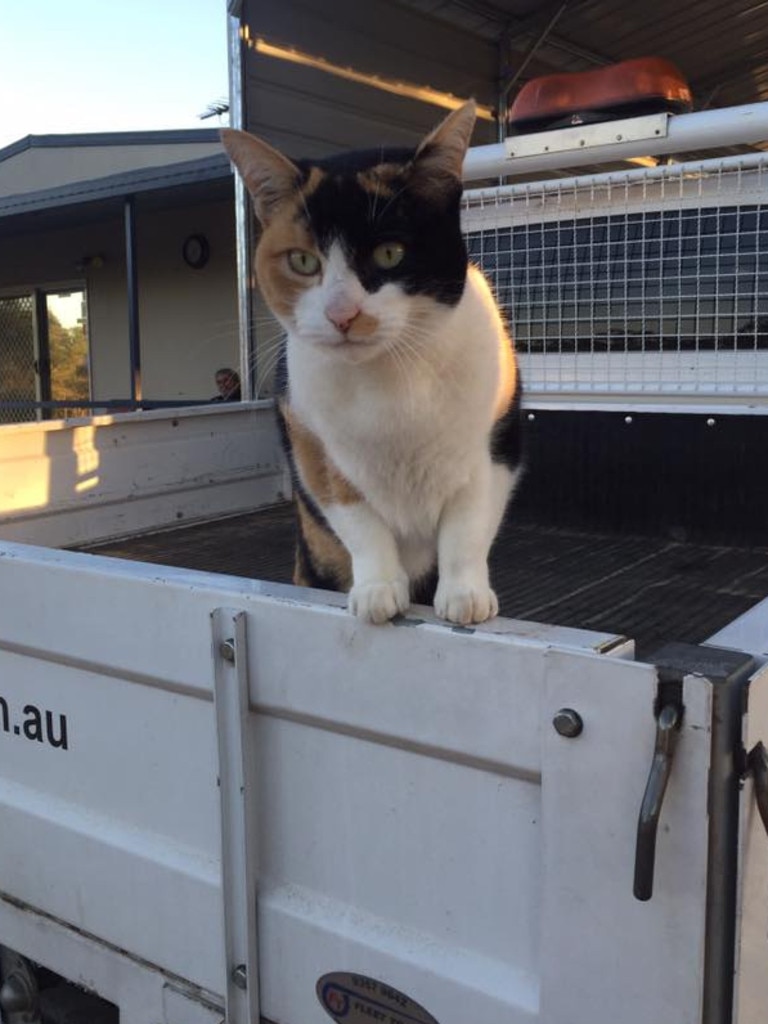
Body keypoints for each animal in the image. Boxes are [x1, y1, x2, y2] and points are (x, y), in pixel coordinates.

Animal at [222, 101, 524, 622]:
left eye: (389, 253)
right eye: (303, 261)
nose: (343, 314)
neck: (391, 374)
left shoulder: (494, 443)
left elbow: (468, 522)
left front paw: (464, 594)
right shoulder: (310, 441)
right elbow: (358, 519)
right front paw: (378, 588)